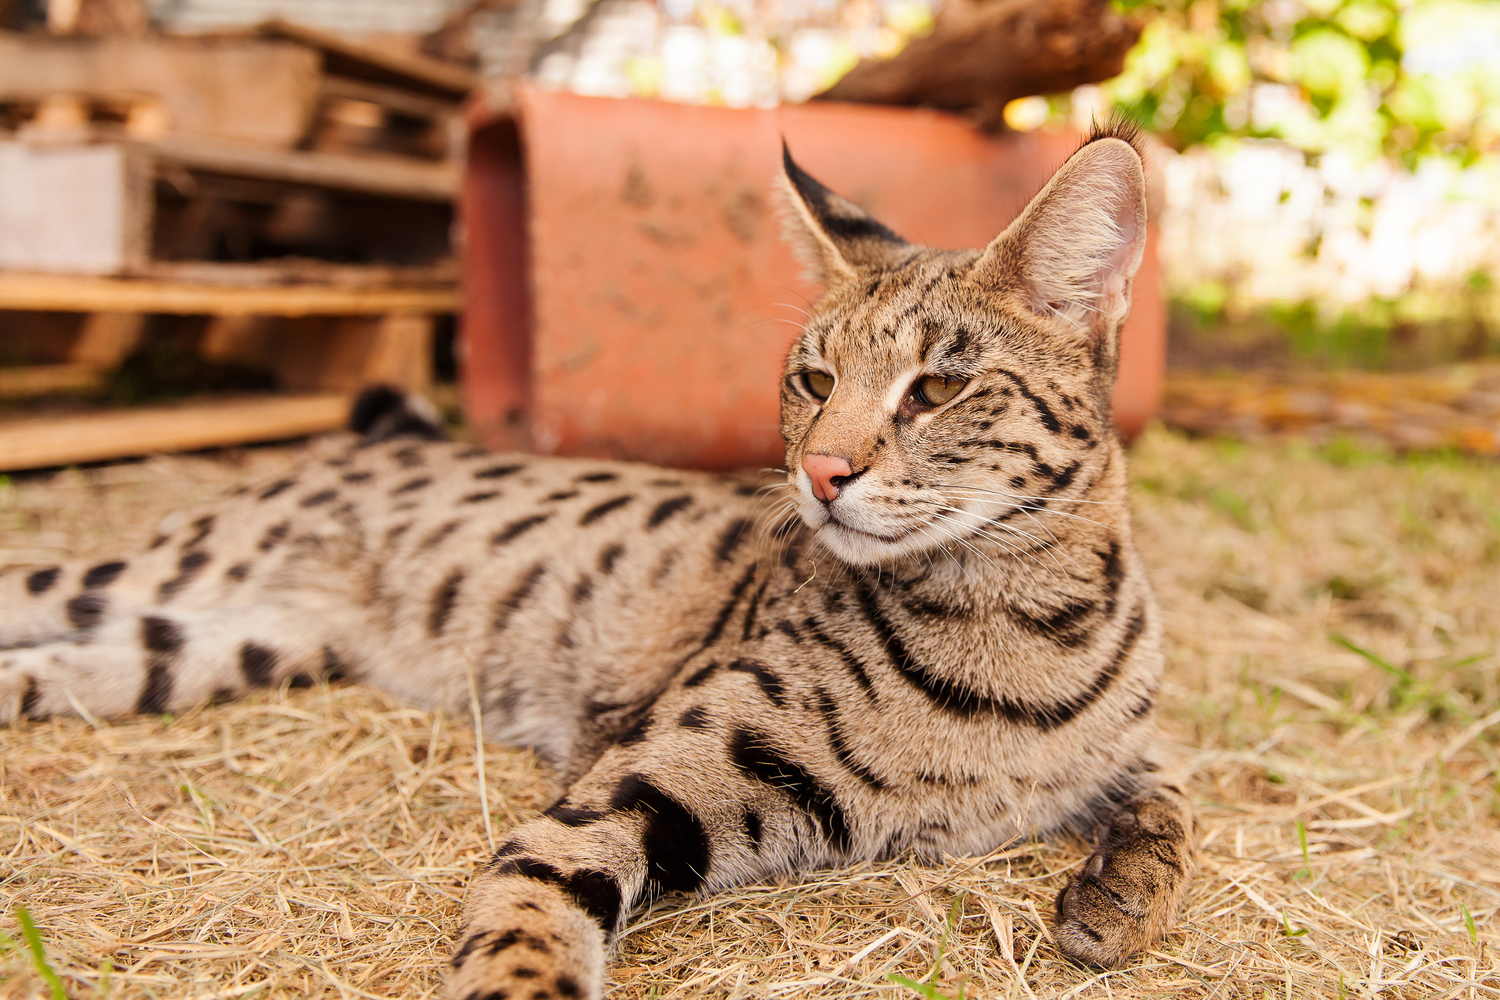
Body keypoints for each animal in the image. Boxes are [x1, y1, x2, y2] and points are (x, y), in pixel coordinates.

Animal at [0, 125, 1194, 1000]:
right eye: (813, 380)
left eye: (937, 390)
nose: (821, 472)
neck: (1021, 614)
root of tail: (385, 442)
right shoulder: (635, 779)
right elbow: (536, 901)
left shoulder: (1131, 744)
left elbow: (1178, 797)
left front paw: (1122, 902)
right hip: (167, 573)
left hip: (227, 645)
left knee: (68, 665)